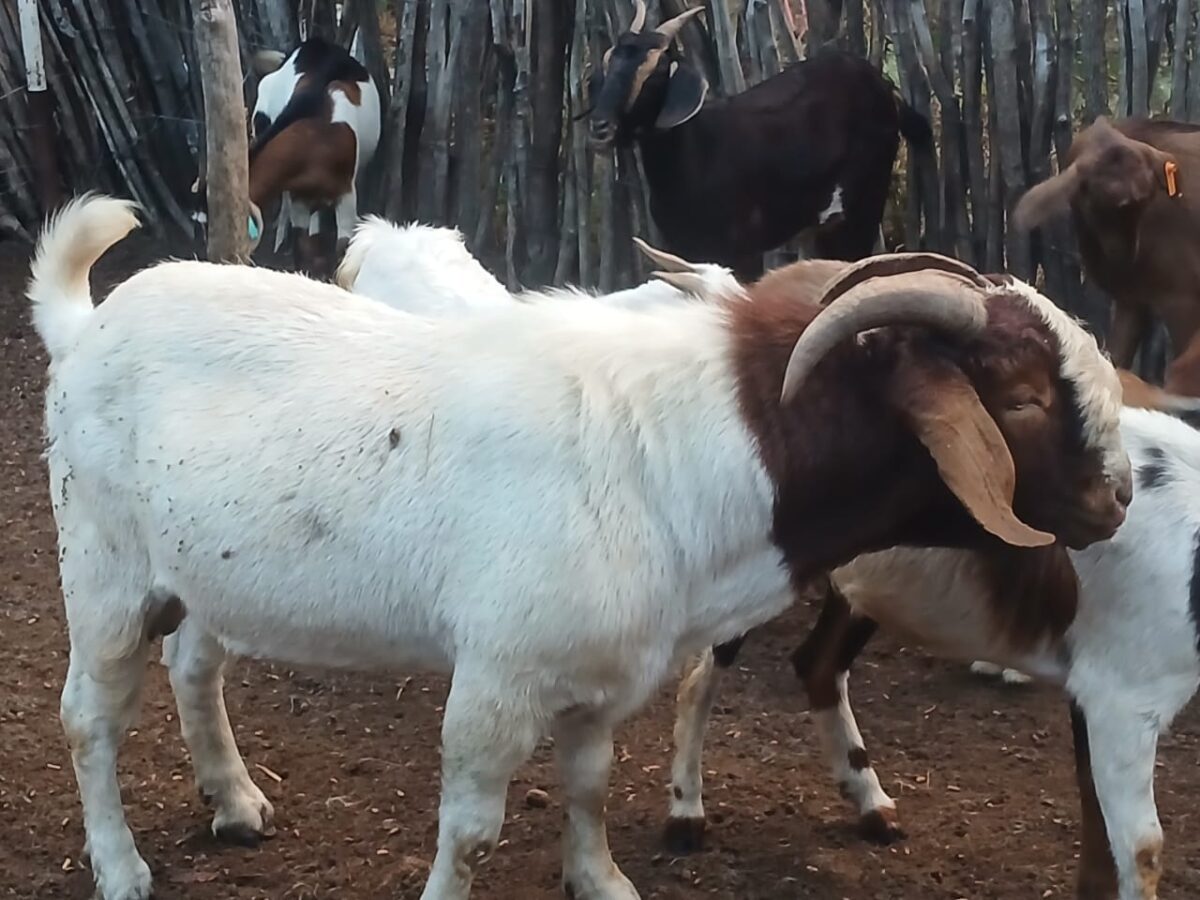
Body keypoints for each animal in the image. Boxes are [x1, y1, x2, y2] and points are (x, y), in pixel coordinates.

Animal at [31, 194, 1130, 900]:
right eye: (1020, 395)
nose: (1117, 498)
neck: (691, 452)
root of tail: (86, 326)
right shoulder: (496, 675)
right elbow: (472, 829)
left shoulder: (604, 674)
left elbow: (592, 785)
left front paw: (600, 881)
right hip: (104, 567)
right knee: (88, 718)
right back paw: (121, 868)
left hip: (198, 572)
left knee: (194, 666)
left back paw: (235, 802)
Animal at [586, 0, 933, 280]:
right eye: (609, 63)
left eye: (656, 73)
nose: (601, 126)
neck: (695, 155)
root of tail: (886, 89)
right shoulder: (685, 249)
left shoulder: (741, 250)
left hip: (864, 202)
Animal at [1015, 116, 1200, 387]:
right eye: (1096, 203)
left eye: (1144, 203)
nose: (1123, 255)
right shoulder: (1132, 299)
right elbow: (1115, 360)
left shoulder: (1181, 297)